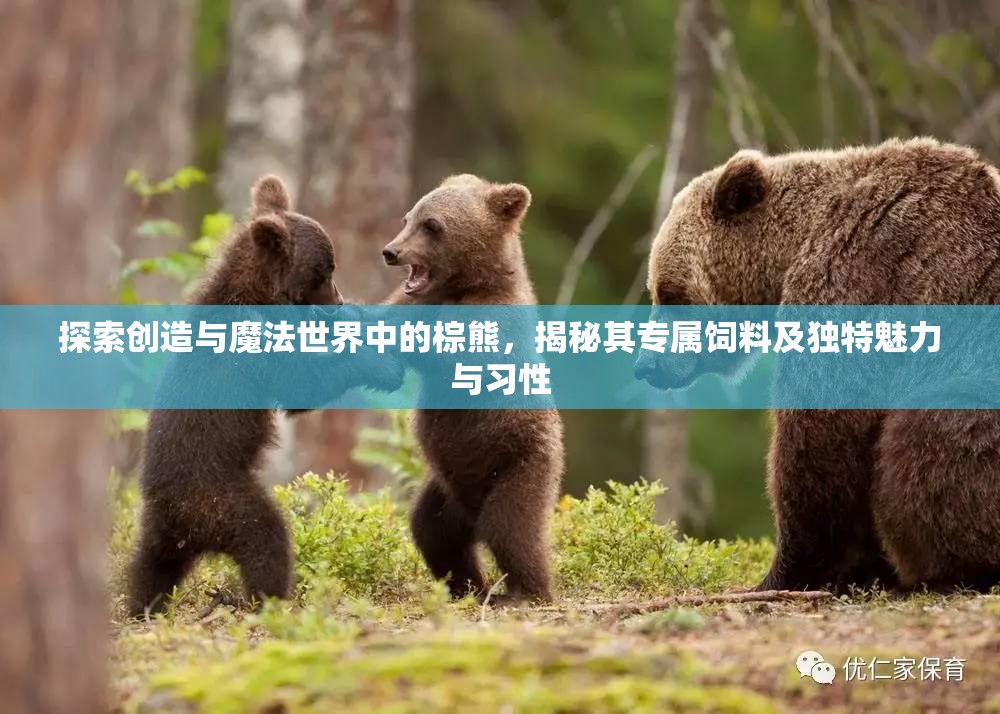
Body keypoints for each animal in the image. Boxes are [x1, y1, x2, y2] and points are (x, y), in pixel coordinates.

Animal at [128, 175, 403, 616]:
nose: (339, 300)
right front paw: (379, 362)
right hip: (219, 498)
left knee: (149, 566)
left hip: (162, 531)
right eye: (325, 269)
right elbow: (301, 387)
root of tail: (178, 518)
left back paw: (141, 606)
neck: (260, 293)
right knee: (265, 537)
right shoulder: (254, 350)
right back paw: (270, 598)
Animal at [381, 174, 565, 603]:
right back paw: (467, 587)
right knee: (432, 531)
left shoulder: (491, 318)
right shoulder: (417, 300)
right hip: (446, 488)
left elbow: (450, 354)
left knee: (512, 530)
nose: (391, 251)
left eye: (432, 225)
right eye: (408, 217)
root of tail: (471, 511)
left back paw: (526, 591)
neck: (463, 285)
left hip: (520, 465)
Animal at [634, 137, 1000, 592]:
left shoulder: (858, 275)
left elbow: (821, 431)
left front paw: (785, 572)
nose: (647, 365)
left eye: (670, 294)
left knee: (929, 437)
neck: (792, 248)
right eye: (656, 291)